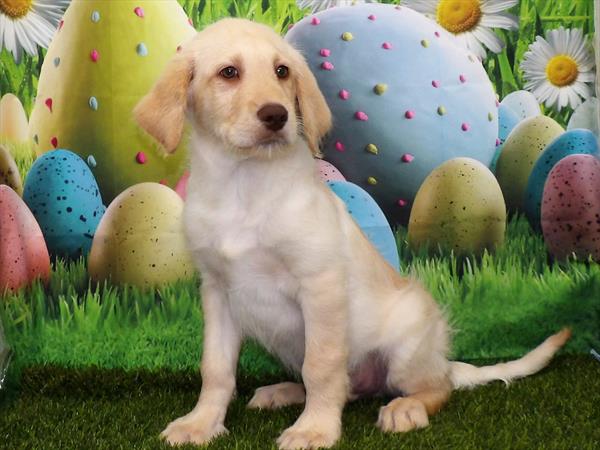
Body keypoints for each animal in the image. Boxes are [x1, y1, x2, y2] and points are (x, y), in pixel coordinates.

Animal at [136, 18, 572, 450]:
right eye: (228, 73)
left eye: (282, 71)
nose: (277, 115)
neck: (244, 184)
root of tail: (441, 359)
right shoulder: (217, 292)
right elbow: (216, 369)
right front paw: (202, 423)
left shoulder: (321, 285)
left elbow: (322, 365)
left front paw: (315, 429)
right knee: (346, 387)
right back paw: (283, 392)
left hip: (407, 347)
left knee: (434, 387)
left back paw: (405, 408)